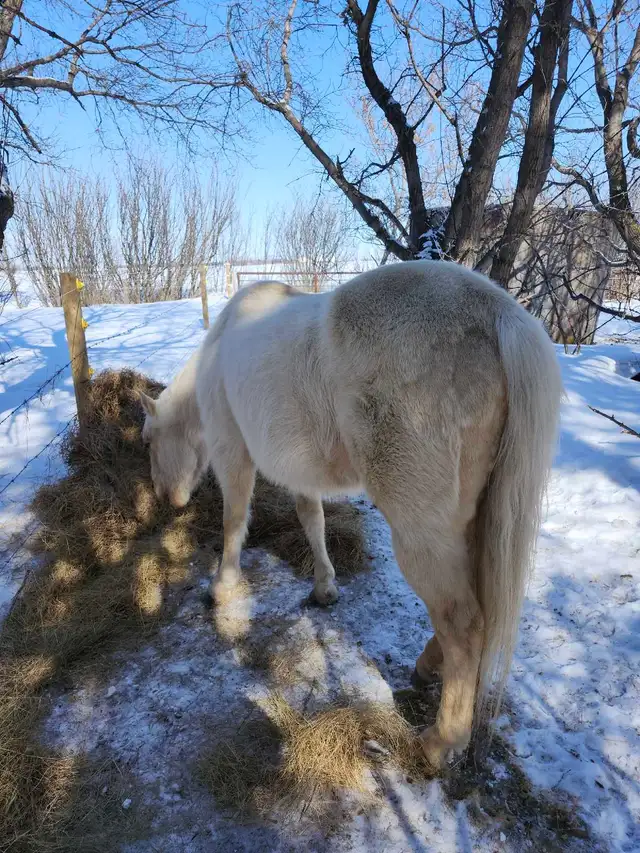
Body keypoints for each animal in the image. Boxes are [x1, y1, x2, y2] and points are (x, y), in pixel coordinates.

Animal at [139, 260, 562, 768]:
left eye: (148, 441)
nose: (166, 498)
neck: (218, 353)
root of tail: (499, 313)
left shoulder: (231, 450)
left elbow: (234, 518)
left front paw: (222, 586)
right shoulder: (300, 472)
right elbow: (311, 518)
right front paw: (324, 587)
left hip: (422, 529)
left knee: (463, 621)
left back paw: (441, 741)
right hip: (476, 519)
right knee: (478, 603)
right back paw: (428, 669)